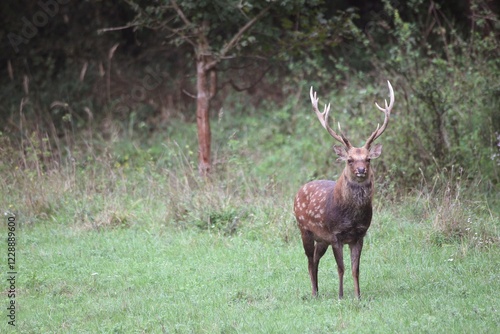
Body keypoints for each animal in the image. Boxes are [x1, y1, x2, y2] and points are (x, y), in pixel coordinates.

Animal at [292, 81, 394, 300]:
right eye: (349, 160)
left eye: (368, 159)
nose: (361, 170)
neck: (351, 217)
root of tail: (299, 191)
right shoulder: (335, 234)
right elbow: (341, 268)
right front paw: (340, 296)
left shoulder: (359, 235)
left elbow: (356, 269)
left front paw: (358, 296)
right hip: (304, 229)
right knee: (309, 261)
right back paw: (314, 293)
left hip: (322, 239)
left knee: (315, 259)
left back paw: (318, 291)